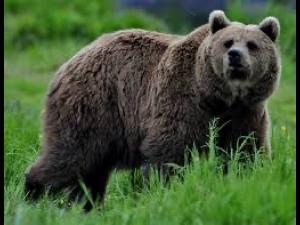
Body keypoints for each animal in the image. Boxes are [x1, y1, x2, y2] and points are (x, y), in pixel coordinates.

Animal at [25, 10, 282, 209]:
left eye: (252, 45)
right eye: (227, 42)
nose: (235, 56)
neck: (219, 97)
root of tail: (70, 61)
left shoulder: (246, 113)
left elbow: (245, 151)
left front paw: (248, 183)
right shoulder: (182, 99)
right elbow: (168, 151)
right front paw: (164, 191)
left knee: (92, 169)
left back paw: (86, 204)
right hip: (95, 104)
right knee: (72, 154)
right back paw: (33, 193)